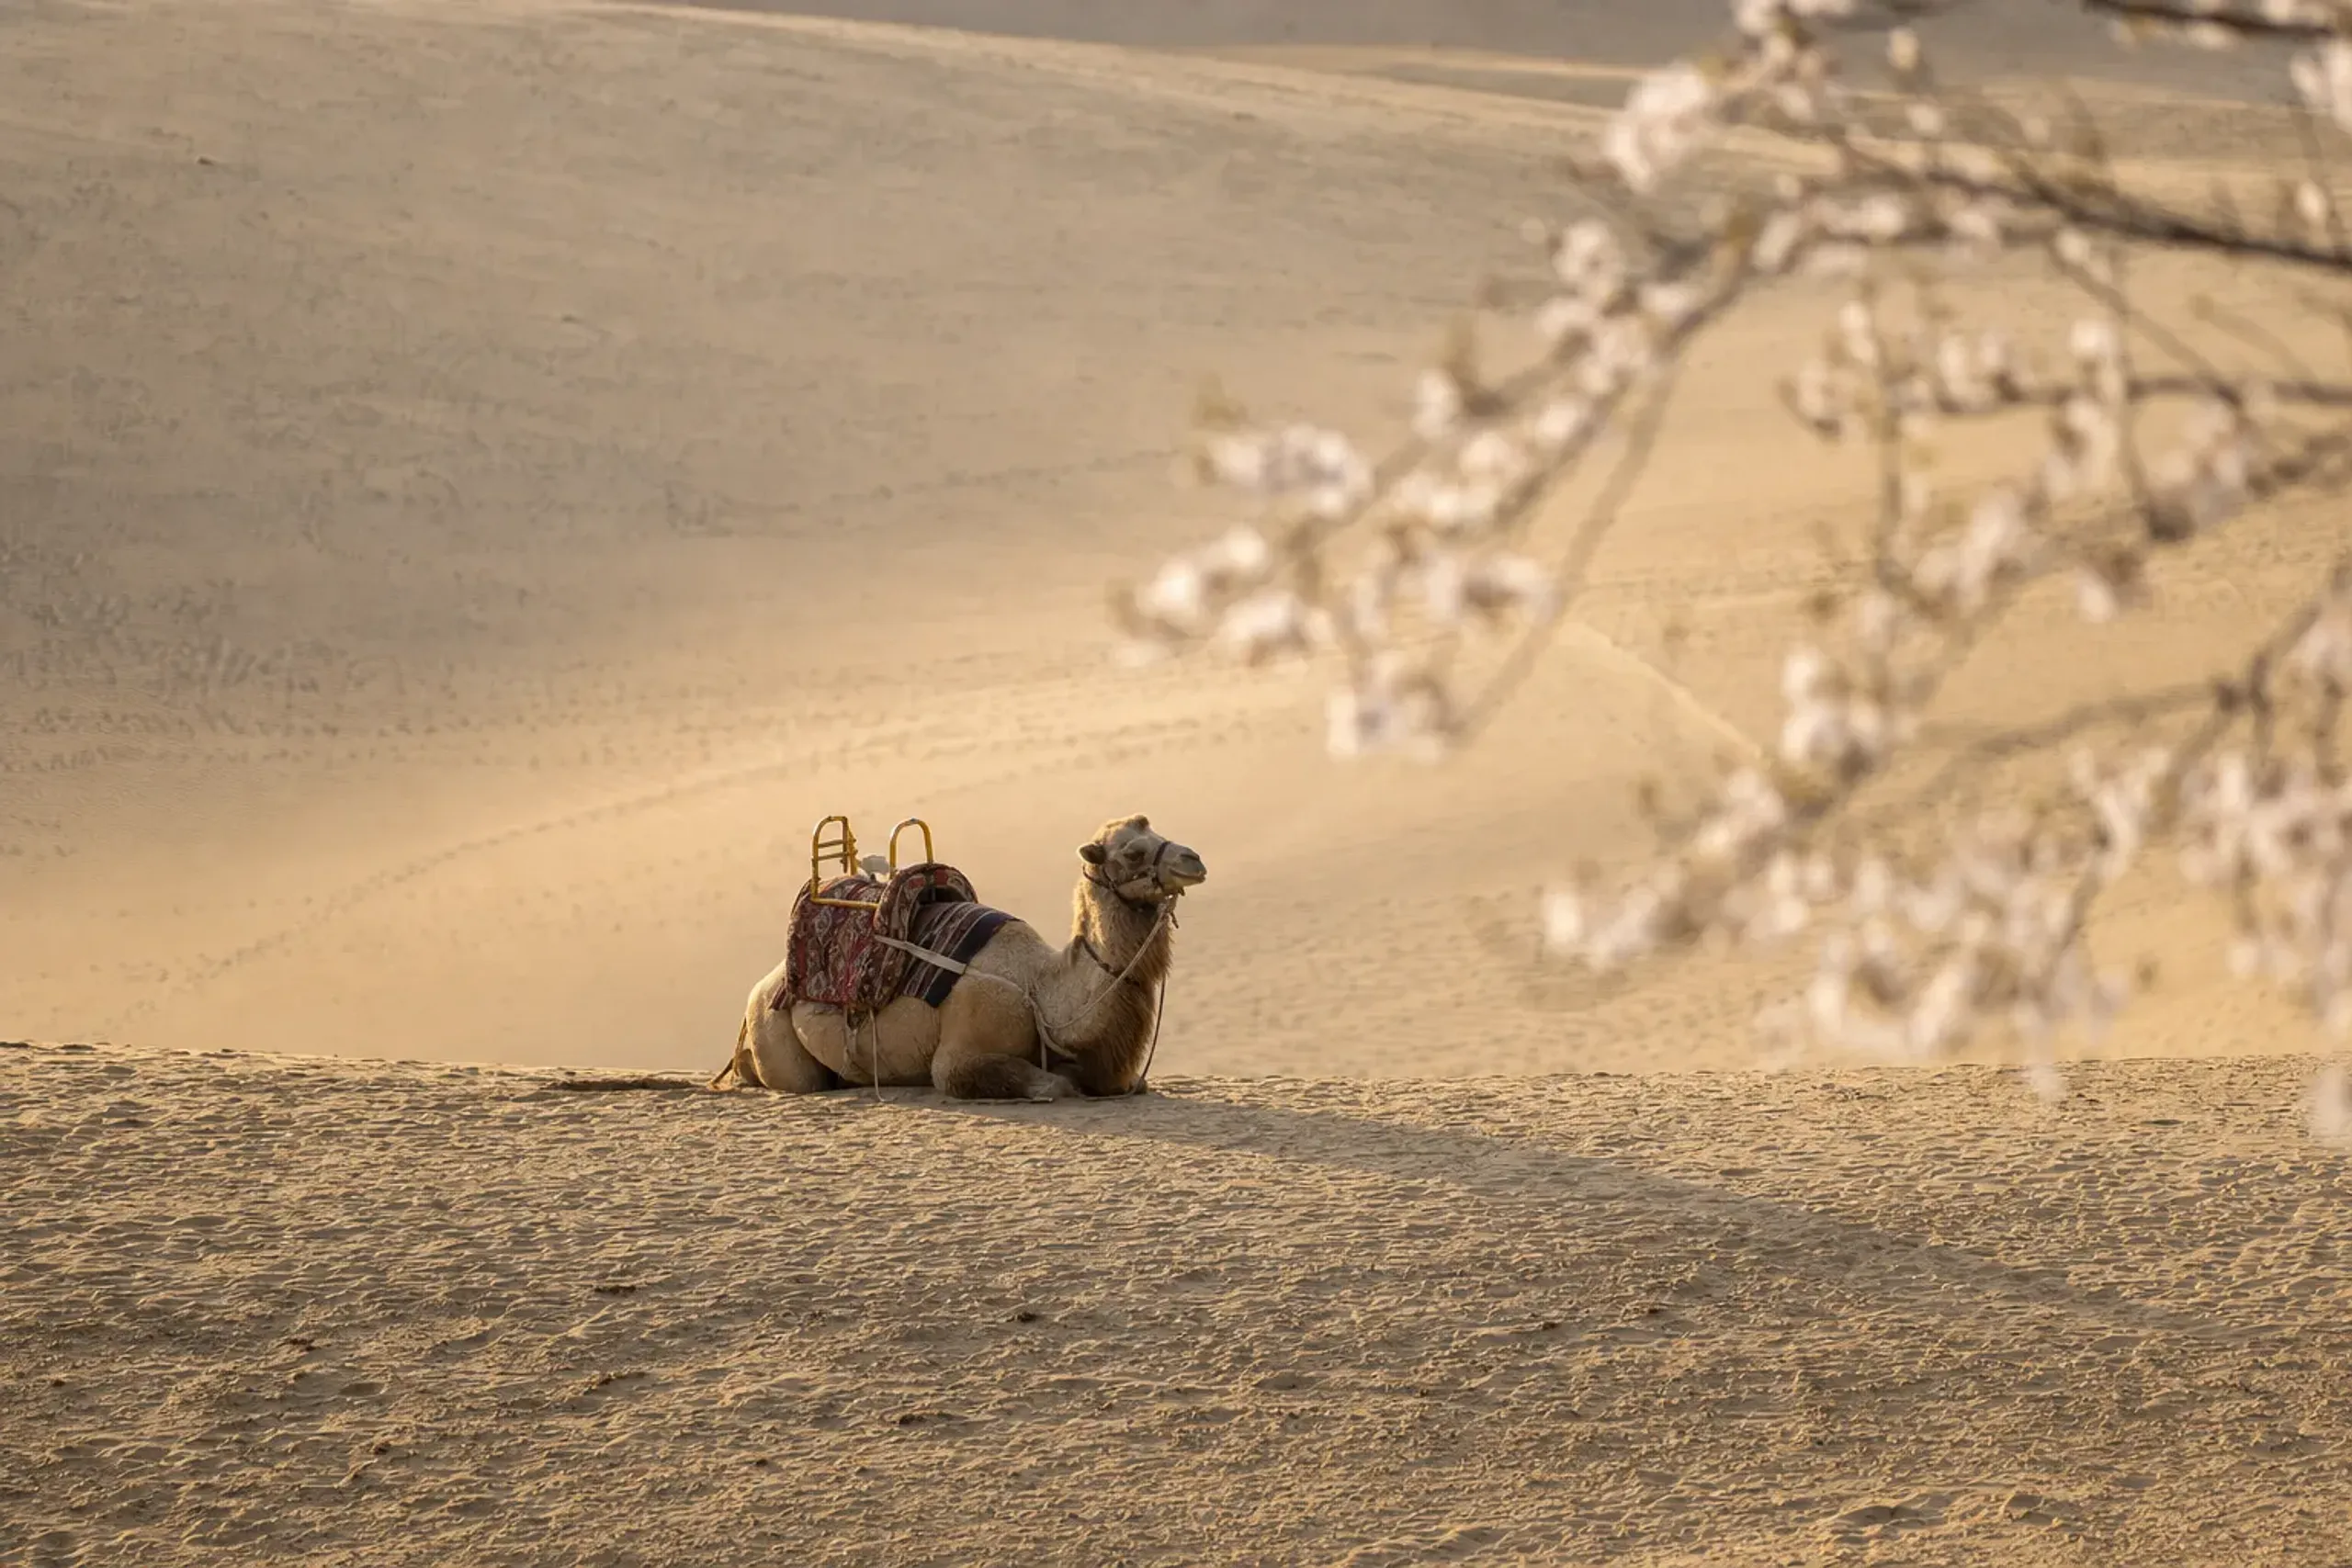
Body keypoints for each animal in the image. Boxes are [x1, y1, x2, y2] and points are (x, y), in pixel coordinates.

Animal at [714, 814, 1206, 1101]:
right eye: (1134, 852)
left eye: (1155, 831)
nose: (1194, 859)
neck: (1039, 988)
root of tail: (765, 984)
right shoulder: (963, 1046)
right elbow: (1046, 1082)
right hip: (772, 1026)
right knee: (796, 1080)